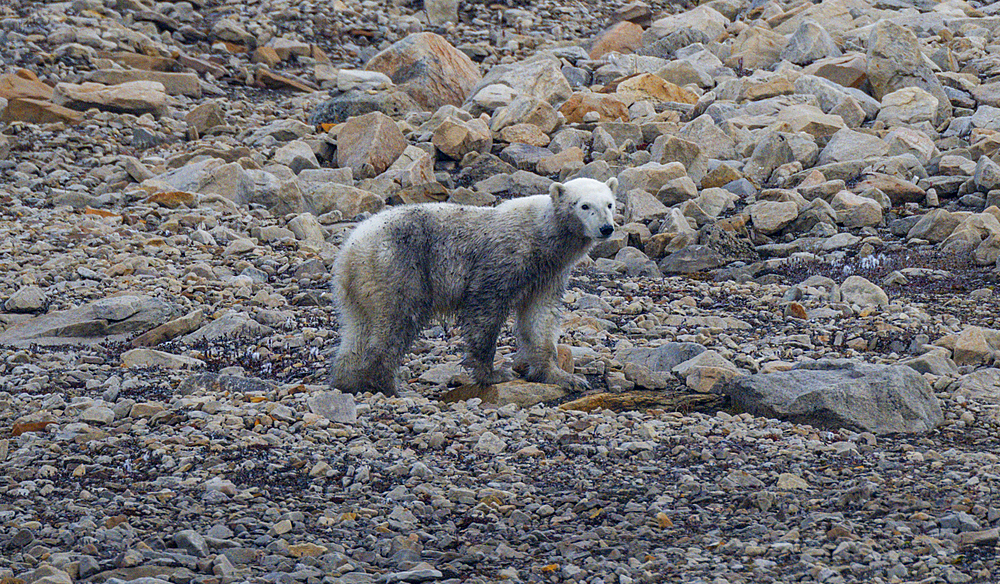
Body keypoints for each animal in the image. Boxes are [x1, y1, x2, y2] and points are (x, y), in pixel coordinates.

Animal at [332, 177, 616, 396]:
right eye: (584, 205)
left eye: (610, 203)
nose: (606, 228)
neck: (542, 236)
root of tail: (351, 248)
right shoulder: (503, 259)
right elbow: (485, 310)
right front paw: (493, 374)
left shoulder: (548, 274)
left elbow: (539, 317)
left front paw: (563, 376)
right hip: (399, 267)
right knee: (397, 321)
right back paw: (388, 384)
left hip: (360, 285)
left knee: (358, 327)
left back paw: (347, 381)